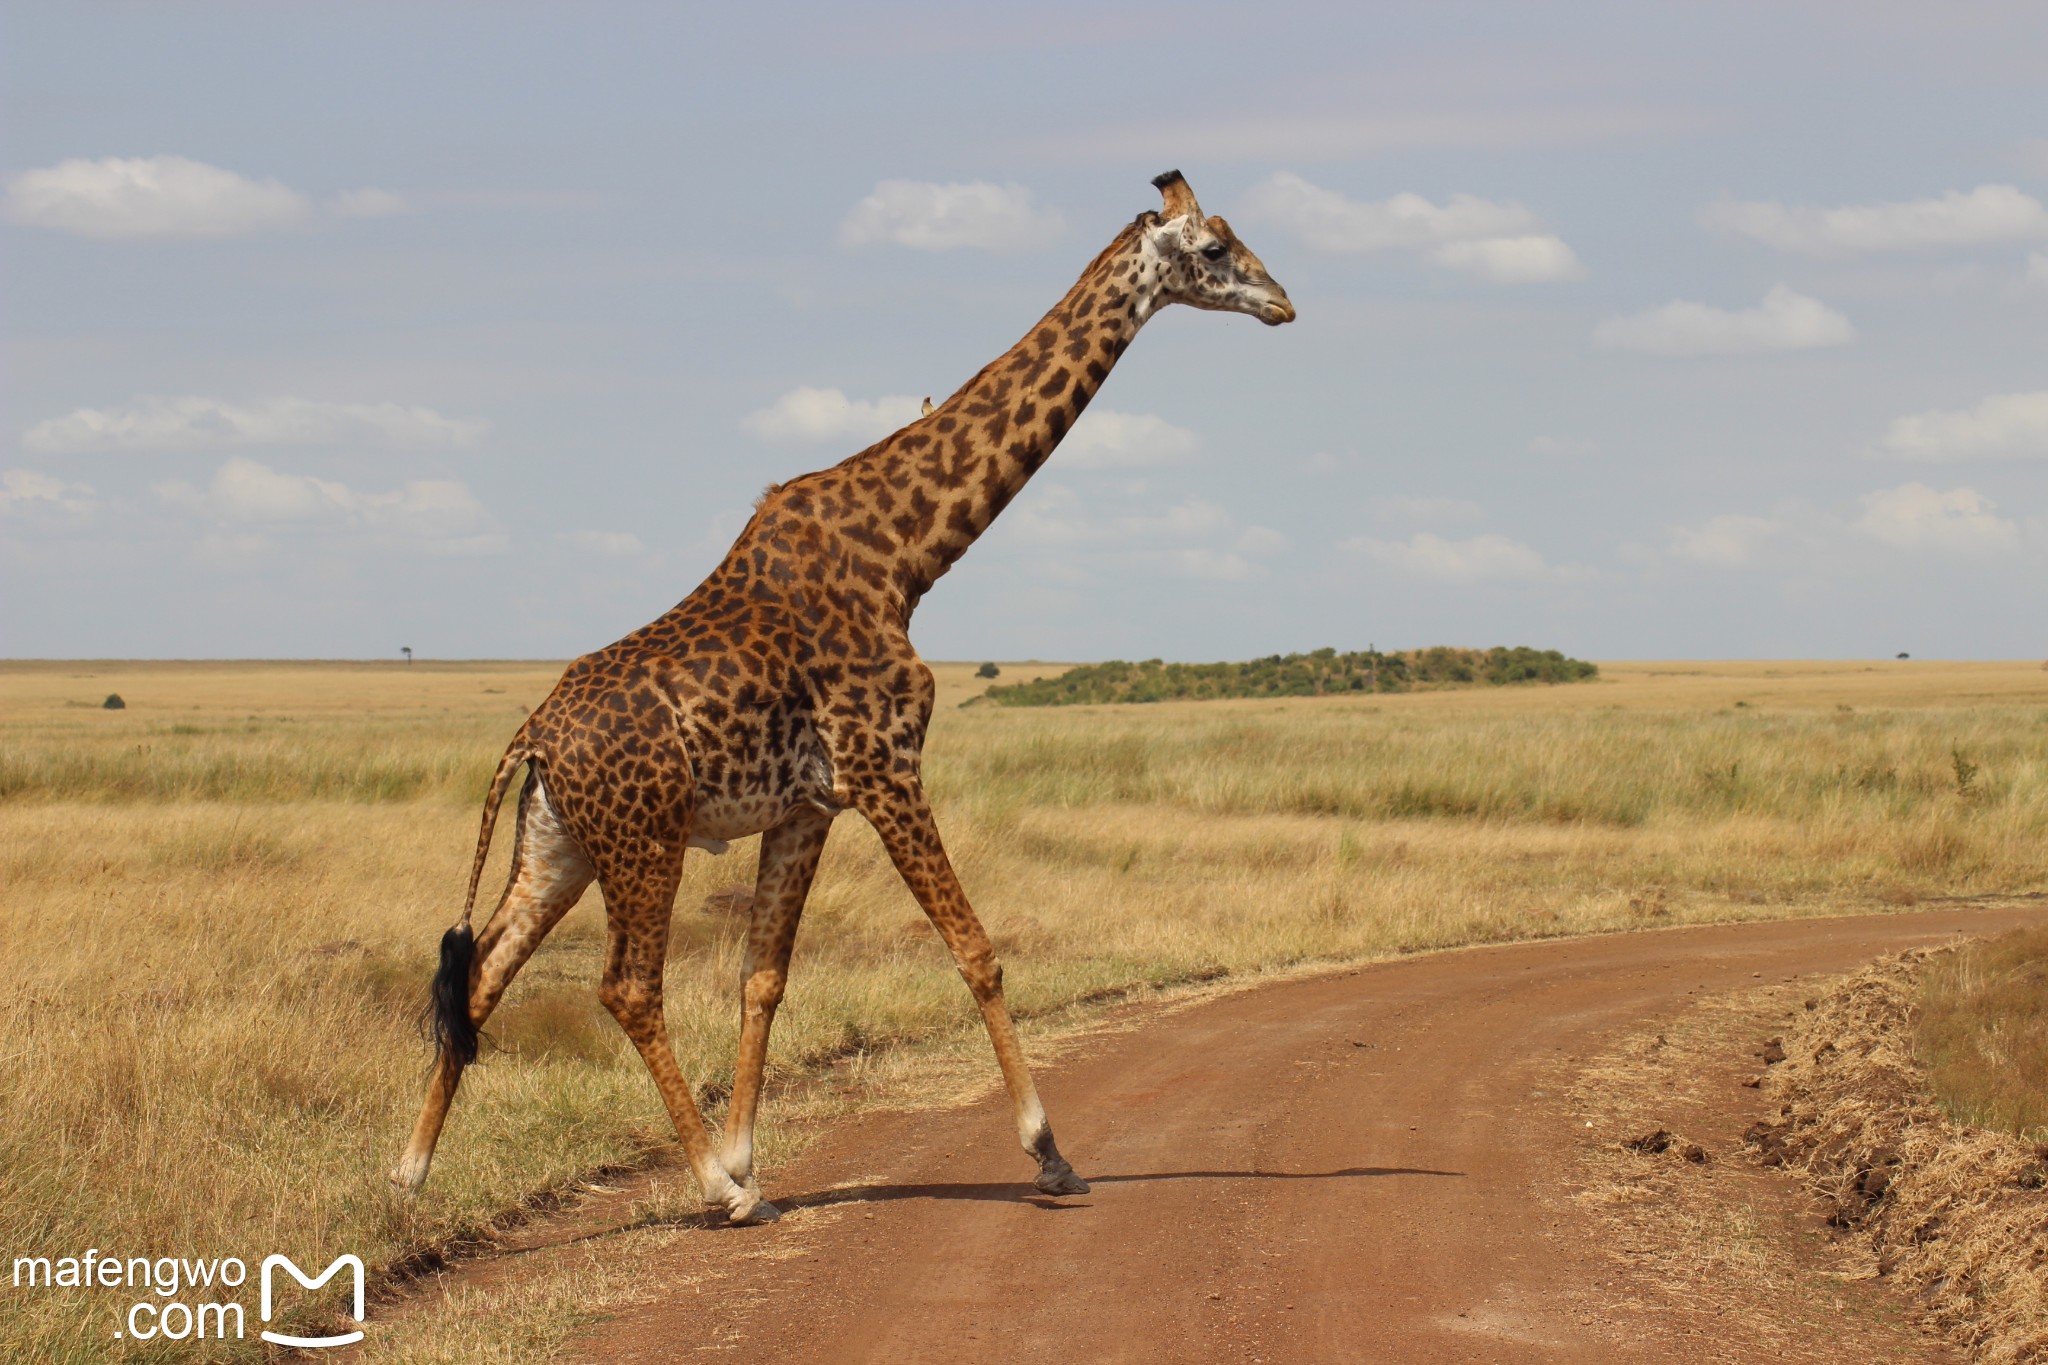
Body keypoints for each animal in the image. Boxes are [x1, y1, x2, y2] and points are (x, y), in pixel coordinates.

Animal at [395, 170, 1294, 1227]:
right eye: (1214, 250)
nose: (1283, 301)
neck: (906, 554)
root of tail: (531, 738)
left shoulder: (808, 806)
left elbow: (763, 977)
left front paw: (749, 1157)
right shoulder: (886, 764)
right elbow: (976, 949)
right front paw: (1049, 1154)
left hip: (559, 845)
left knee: (483, 974)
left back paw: (408, 1175)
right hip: (643, 839)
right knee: (626, 986)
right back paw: (710, 1190)